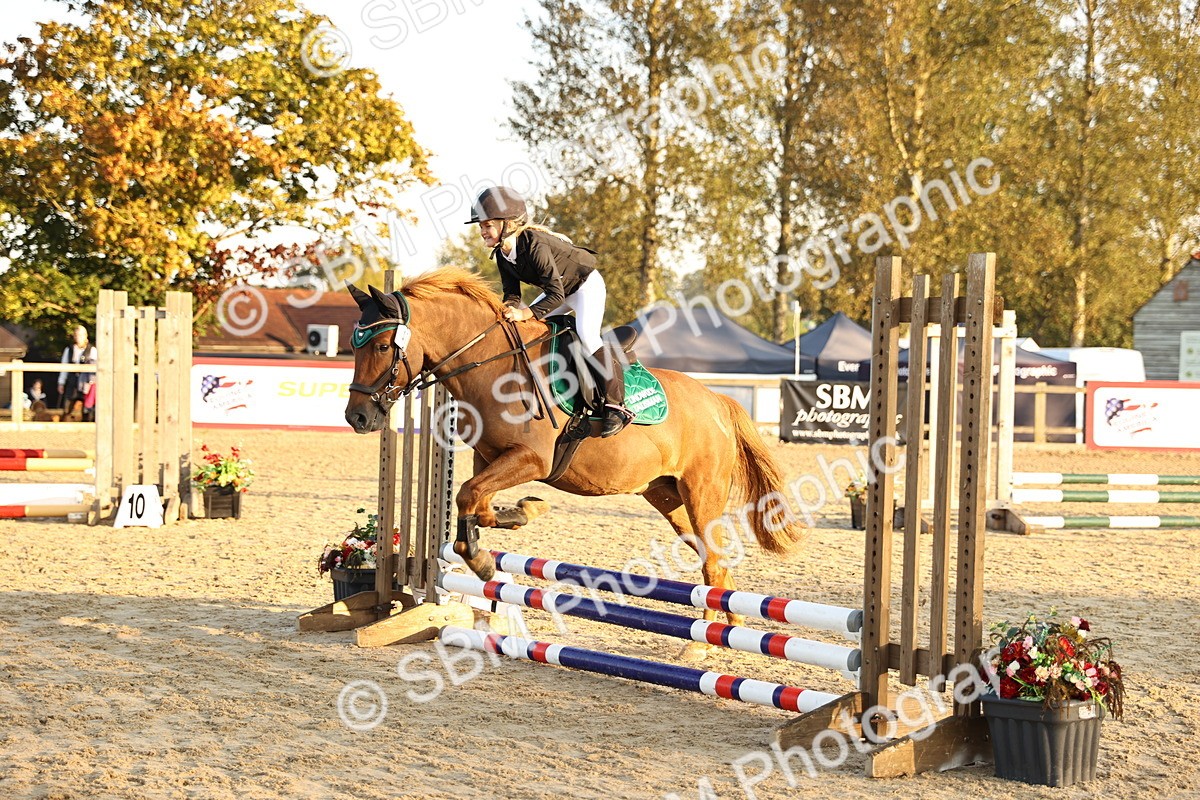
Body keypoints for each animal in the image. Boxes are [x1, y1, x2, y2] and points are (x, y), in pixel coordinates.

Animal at [344, 268, 804, 654]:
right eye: (353, 345)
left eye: (383, 346)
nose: (357, 418)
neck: (493, 364)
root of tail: (718, 401)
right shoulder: (488, 457)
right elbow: (475, 504)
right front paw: (521, 515)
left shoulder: (532, 460)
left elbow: (468, 497)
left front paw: (482, 560)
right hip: (668, 498)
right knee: (714, 559)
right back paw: (728, 628)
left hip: (701, 493)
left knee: (710, 560)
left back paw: (701, 644)